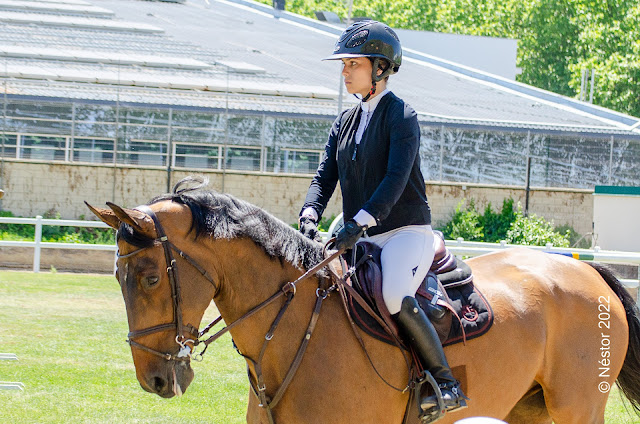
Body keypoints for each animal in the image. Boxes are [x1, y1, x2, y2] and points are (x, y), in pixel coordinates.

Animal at [87, 180, 640, 424]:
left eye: (151, 278)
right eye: (117, 277)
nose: (156, 380)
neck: (297, 333)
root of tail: (586, 270)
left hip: (577, 409)